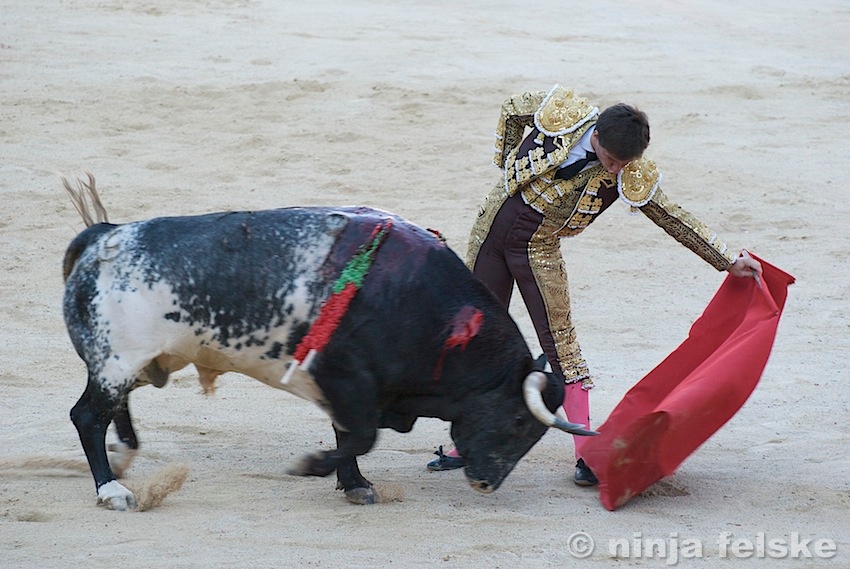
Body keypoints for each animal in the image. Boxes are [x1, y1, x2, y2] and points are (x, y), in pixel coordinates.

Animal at [61, 174, 596, 510]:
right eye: (517, 423)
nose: (486, 483)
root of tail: (103, 235)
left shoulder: (354, 388)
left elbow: (350, 434)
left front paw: (353, 484)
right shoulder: (344, 376)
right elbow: (360, 435)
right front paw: (313, 467)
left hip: (136, 362)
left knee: (114, 409)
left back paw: (125, 457)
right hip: (118, 361)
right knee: (87, 416)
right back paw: (111, 490)